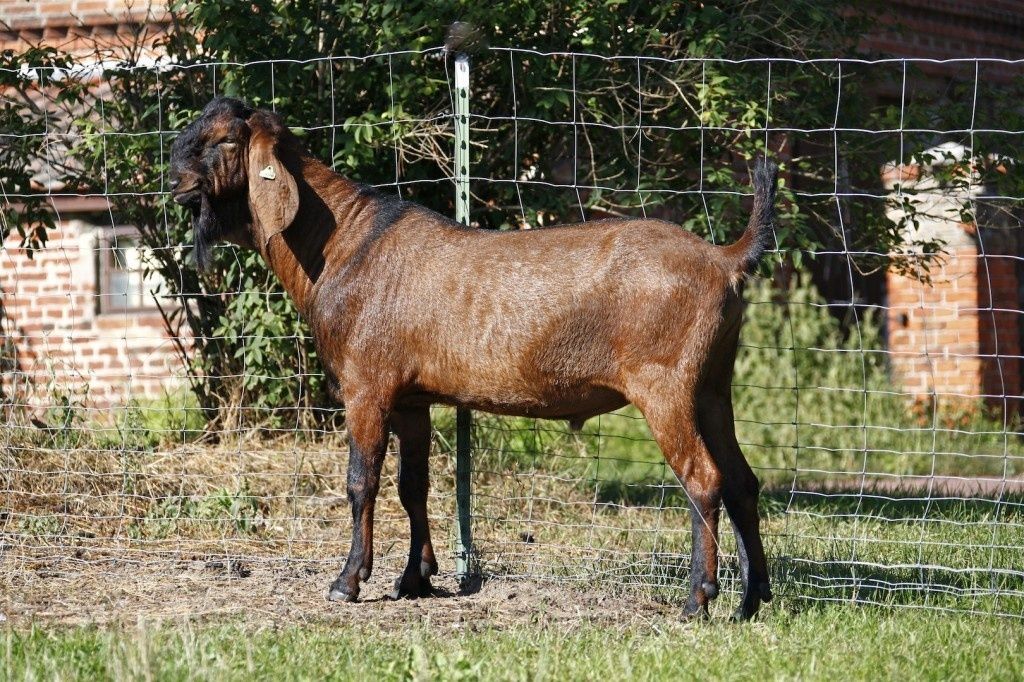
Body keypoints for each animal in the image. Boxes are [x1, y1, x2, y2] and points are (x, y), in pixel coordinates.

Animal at [169, 96, 774, 622]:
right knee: (743, 481)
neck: (341, 243)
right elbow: (412, 484)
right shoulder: (410, 398)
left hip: (665, 385)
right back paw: (751, 601)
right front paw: (414, 579)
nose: (173, 178)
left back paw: (698, 600)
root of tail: (725, 259)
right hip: (712, 386)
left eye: (224, 139)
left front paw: (348, 581)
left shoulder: (367, 386)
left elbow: (361, 481)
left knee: (704, 480)